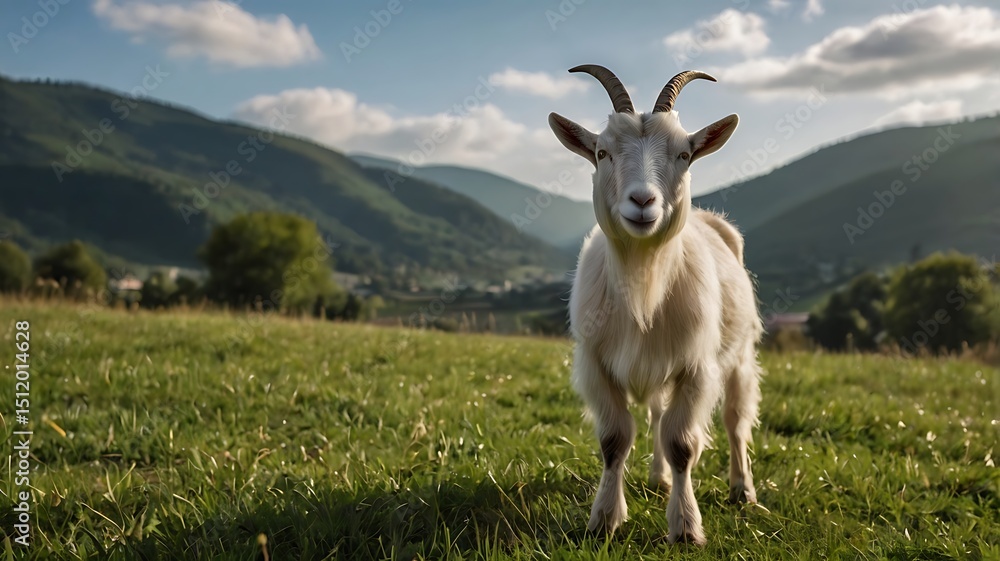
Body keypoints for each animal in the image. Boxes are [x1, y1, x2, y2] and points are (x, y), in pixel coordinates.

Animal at [548, 65, 762, 546]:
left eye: (684, 154)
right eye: (602, 152)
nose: (643, 201)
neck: (643, 282)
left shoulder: (696, 368)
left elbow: (683, 444)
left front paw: (685, 527)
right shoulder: (596, 364)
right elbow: (614, 440)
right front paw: (605, 519)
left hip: (739, 355)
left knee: (735, 421)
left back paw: (742, 489)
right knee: (658, 415)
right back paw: (660, 477)